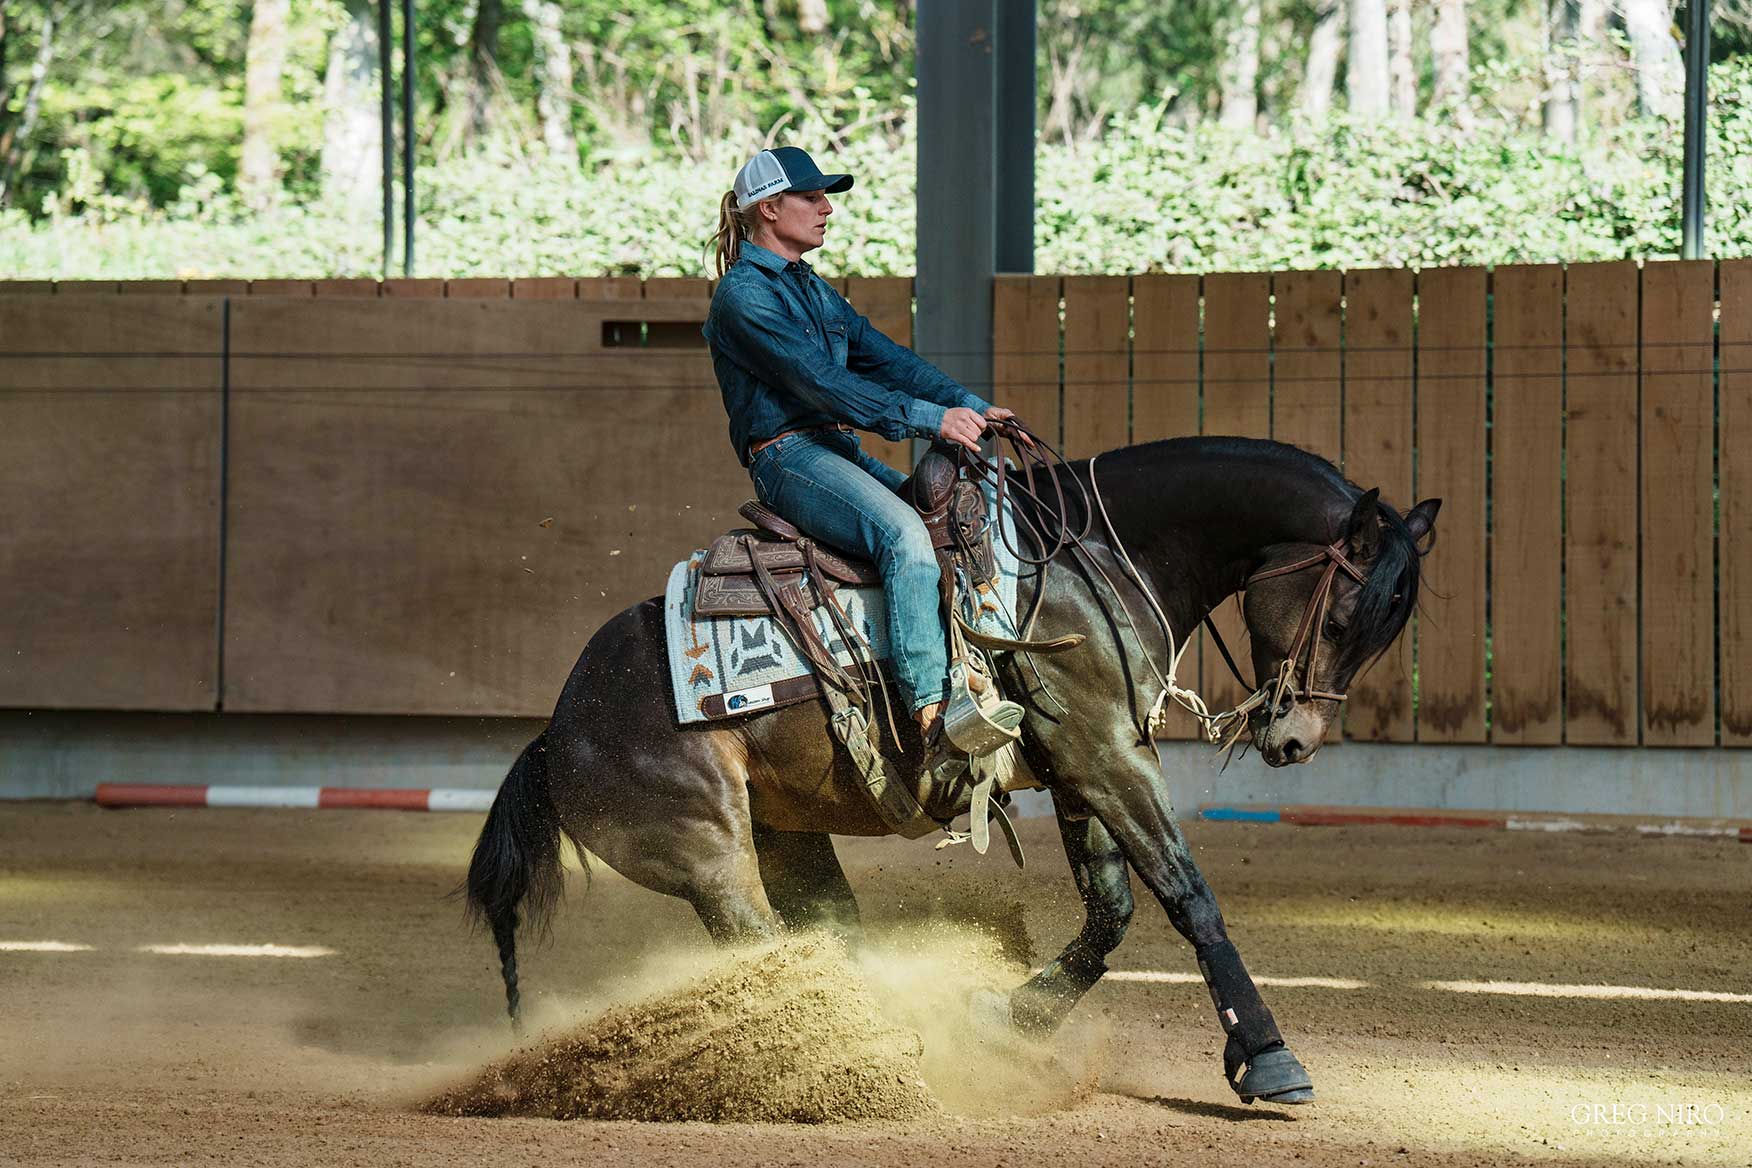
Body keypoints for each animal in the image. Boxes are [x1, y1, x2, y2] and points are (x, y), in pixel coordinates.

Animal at [462, 434, 1436, 1113]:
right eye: (1342, 616)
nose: (1295, 741)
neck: (1084, 563)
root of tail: (555, 733)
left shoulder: (1083, 764)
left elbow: (1112, 910)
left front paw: (1013, 1017)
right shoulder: (1105, 752)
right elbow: (1187, 897)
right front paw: (1269, 1059)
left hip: (788, 839)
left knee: (823, 941)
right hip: (710, 859)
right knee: (765, 958)